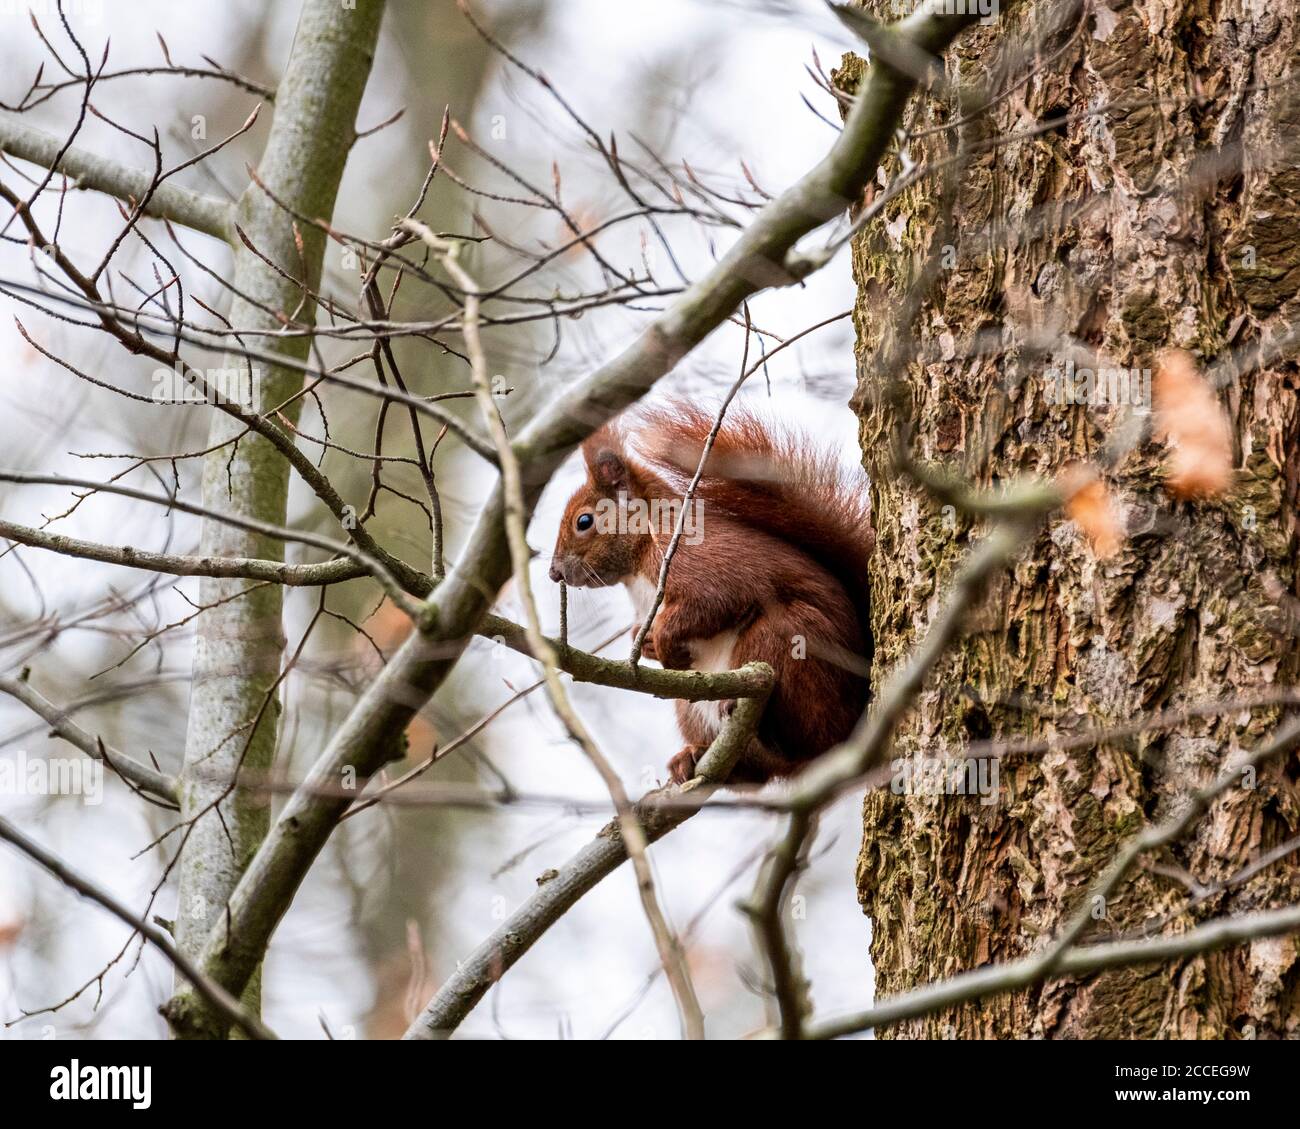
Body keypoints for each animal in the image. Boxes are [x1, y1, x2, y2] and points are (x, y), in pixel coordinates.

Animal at [548, 401, 874, 785]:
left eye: (584, 522)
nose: (553, 573)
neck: (637, 563)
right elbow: (643, 627)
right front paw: (646, 642)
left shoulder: (695, 556)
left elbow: (714, 599)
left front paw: (662, 640)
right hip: (692, 712)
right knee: (755, 774)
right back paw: (692, 758)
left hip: (789, 639)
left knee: (806, 739)